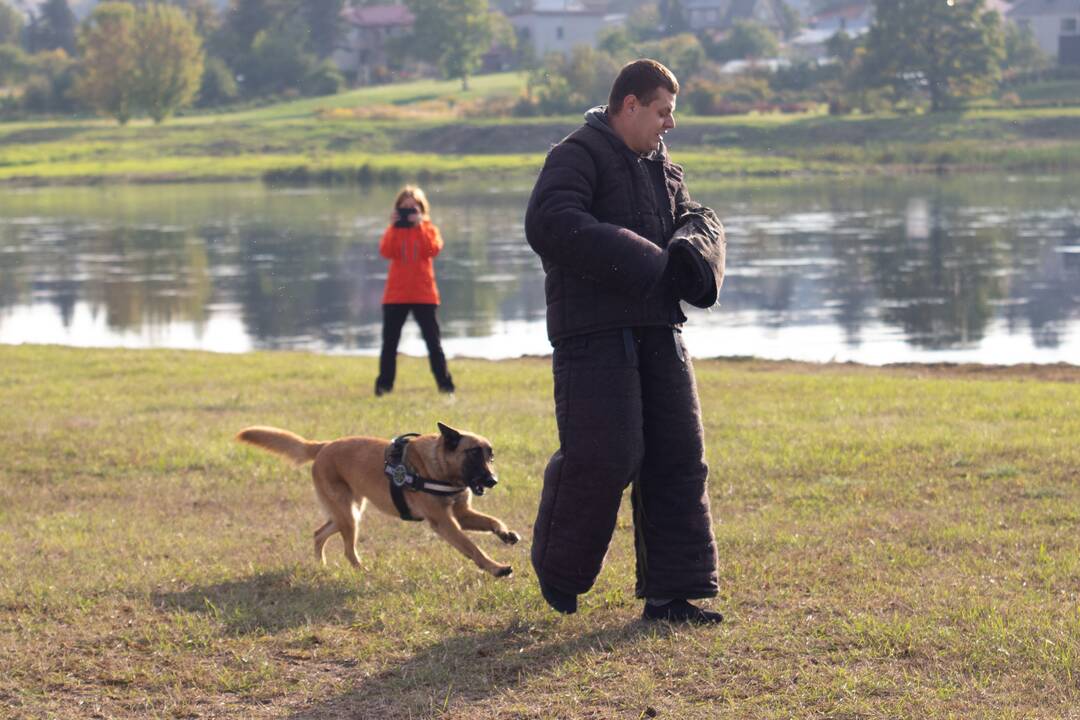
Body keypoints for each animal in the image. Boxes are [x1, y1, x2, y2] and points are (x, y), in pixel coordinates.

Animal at [237, 423, 522, 578]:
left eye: (491, 456)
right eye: (473, 454)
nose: (493, 480)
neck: (438, 466)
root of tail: (323, 446)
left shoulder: (461, 515)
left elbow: (493, 521)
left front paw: (506, 534)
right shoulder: (445, 523)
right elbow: (473, 548)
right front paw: (496, 568)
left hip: (347, 513)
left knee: (319, 534)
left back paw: (322, 566)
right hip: (348, 516)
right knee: (347, 549)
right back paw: (362, 572)